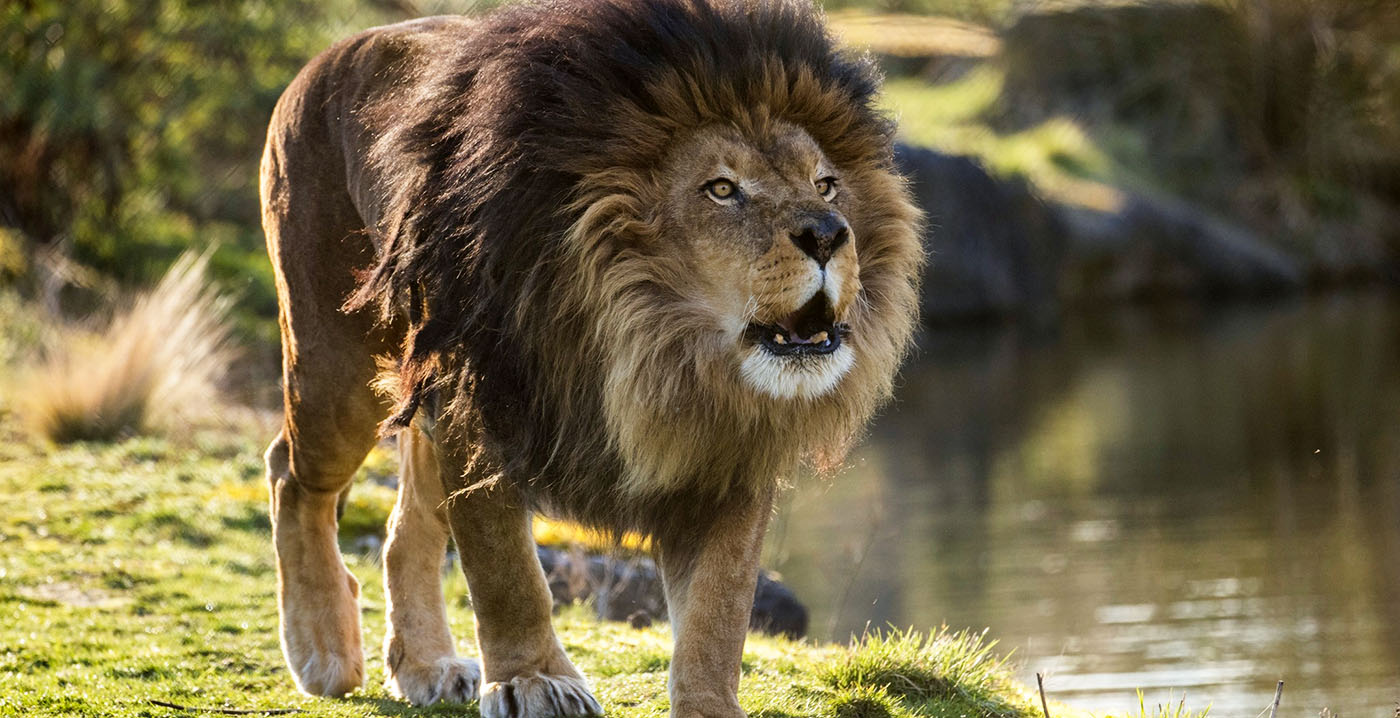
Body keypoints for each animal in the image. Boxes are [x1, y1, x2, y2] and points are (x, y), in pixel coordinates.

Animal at [260, 1, 918, 716]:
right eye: (721, 189)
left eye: (827, 185)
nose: (829, 234)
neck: (656, 342)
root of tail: (331, 54)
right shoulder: (479, 405)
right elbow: (506, 569)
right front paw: (532, 681)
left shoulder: (728, 449)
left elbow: (719, 609)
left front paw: (709, 703)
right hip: (337, 366)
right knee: (291, 474)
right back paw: (322, 648)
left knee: (406, 525)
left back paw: (426, 665)